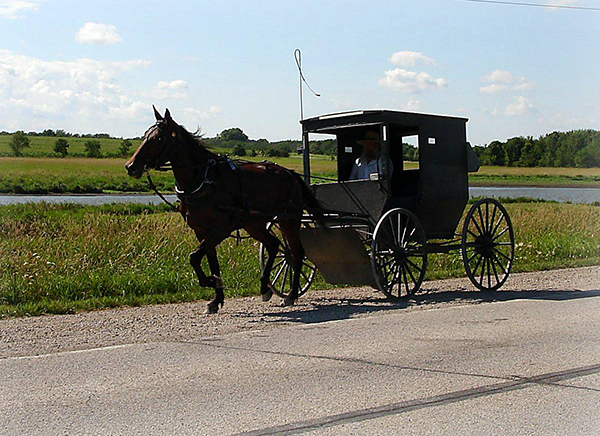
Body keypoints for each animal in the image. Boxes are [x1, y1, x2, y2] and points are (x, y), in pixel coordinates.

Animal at [123, 109, 318, 314]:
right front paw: (216, 298)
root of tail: (291, 173)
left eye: (159, 138)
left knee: (296, 252)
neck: (204, 180)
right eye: (145, 135)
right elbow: (211, 263)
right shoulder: (202, 231)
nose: (130, 166)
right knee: (273, 245)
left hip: (288, 219)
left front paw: (211, 281)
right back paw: (265, 287)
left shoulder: (220, 230)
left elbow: (194, 258)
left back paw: (291, 295)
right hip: (254, 224)